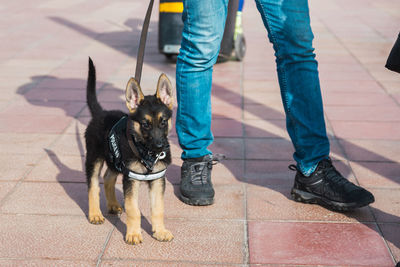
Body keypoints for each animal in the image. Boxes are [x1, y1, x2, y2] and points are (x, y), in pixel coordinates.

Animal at [84, 58, 173, 245]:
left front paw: (160, 231)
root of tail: (101, 113)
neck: (146, 153)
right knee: (93, 186)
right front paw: (133, 234)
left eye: (163, 122)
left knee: (108, 178)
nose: (160, 146)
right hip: (94, 159)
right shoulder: (131, 179)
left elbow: (158, 208)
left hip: (115, 161)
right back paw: (95, 214)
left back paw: (112, 204)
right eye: (145, 124)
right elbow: (134, 209)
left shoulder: (157, 179)